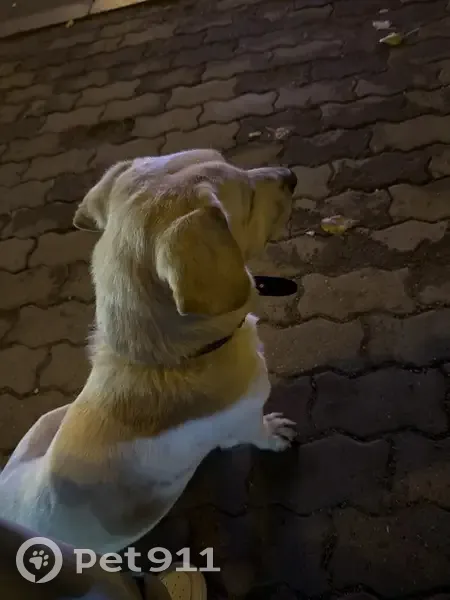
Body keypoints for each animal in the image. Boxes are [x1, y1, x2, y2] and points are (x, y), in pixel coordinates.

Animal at [0, 149, 298, 553]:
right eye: (248, 200)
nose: (291, 175)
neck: (167, 361)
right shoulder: (244, 423)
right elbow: (261, 433)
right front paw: (277, 434)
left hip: (43, 424)